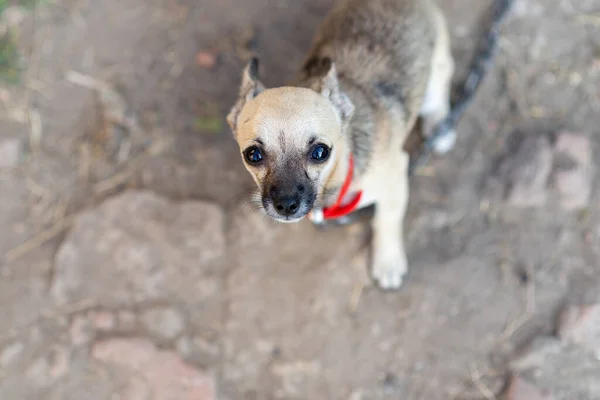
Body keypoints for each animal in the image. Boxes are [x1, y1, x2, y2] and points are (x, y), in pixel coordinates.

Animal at [227, 0, 452, 290]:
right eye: (253, 155)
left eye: (320, 152)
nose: (286, 204)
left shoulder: (394, 180)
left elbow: (387, 221)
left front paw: (388, 262)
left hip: (433, 82)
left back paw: (441, 127)